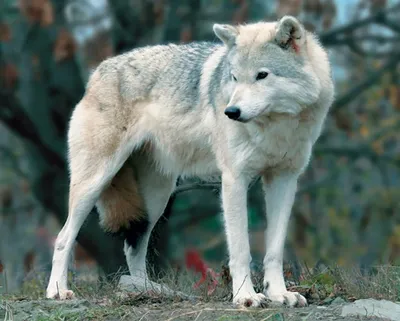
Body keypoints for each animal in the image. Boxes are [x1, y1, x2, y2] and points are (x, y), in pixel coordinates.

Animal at [46, 15, 334, 308]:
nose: (231, 112)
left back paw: (144, 290)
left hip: (156, 199)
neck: (276, 126)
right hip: (95, 184)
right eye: (234, 77)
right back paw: (57, 291)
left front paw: (279, 294)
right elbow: (241, 249)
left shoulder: (284, 179)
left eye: (262, 75)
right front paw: (245, 296)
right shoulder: (234, 179)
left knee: (133, 248)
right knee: (63, 238)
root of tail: (98, 71)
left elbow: (274, 250)